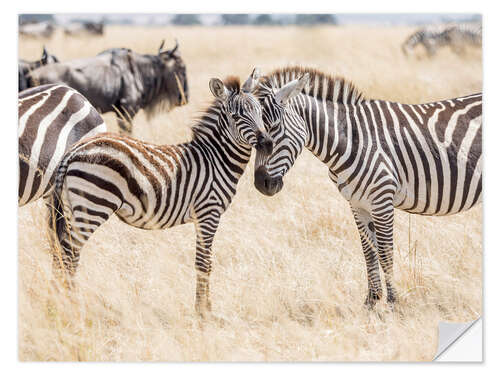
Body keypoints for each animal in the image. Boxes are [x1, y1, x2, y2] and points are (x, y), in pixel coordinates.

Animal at [48, 70, 272, 318]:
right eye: (235, 116)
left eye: (260, 111)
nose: (268, 143)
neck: (216, 159)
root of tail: (73, 150)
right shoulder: (209, 213)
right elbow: (205, 263)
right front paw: (203, 313)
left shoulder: (202, 217)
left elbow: (204, 261)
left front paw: (205, 308)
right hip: (93, 204)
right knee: (70, 254)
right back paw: (72, 306)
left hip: (71, 207)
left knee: (61, 252)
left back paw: (60, 302)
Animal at [254, 67, 480, 308]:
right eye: (251, 134)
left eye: (274, 128)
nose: (260, 184)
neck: (352, 140)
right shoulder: (357, 204)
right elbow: (368, 251)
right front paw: (371, 303)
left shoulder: (382, 200)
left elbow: (385, 252)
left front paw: (392, 304)